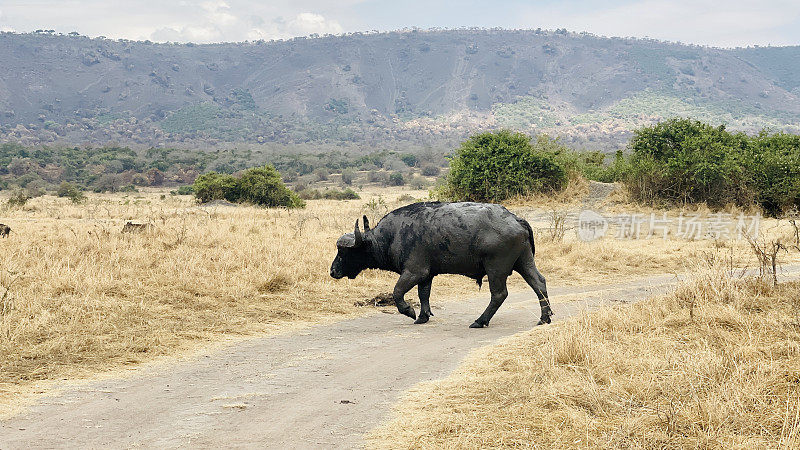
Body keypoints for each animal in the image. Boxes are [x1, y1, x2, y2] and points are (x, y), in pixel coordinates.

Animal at [328, 203, 552, 326]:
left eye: (345, 251)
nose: (332, 271)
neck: (391, 236)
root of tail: (516, 219)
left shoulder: (414, 271)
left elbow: (397, 292)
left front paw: (409, 311)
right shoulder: (426, 275)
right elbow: (423, 294)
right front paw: (423, 316)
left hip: (496, 269)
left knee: (499, 294)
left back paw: (480, 321)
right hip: (524, 262)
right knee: (539, 283)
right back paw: (544, 318)